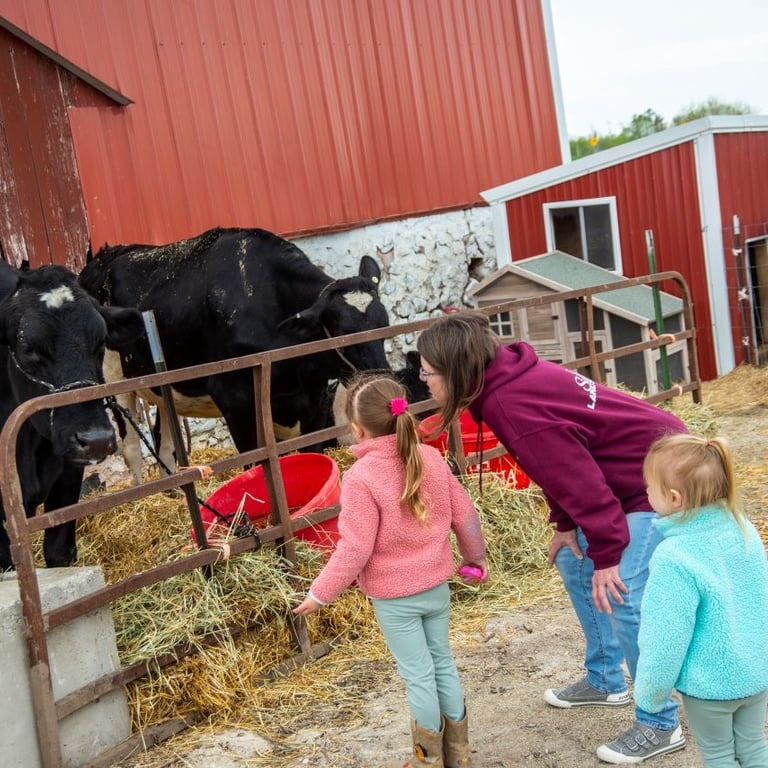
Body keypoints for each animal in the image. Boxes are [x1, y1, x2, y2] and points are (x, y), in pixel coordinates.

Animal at [79, 227, 391, 476]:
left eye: (385, 324)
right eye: (342, 333)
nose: (384, 386)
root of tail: (103, 255)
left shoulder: (313, 400)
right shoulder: (233, 399)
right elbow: (254, 465)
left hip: (162, 386)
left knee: (164, 442)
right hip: (115, 382)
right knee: (131, 448)